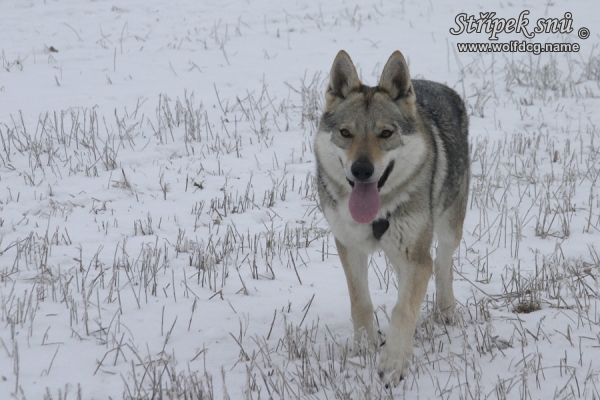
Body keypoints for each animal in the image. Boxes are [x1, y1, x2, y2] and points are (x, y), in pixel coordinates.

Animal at [314, 49, 468, 384]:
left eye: (386, 133)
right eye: (346, 133)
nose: (361, 170)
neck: (377, 214)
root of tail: (432, 83)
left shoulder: (416, 257)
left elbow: (403, 308)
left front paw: (394, 362)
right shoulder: (349, 247)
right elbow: (360, 302)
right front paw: (364, 348)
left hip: (449, 227)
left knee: (442, 262)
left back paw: (446, 310)